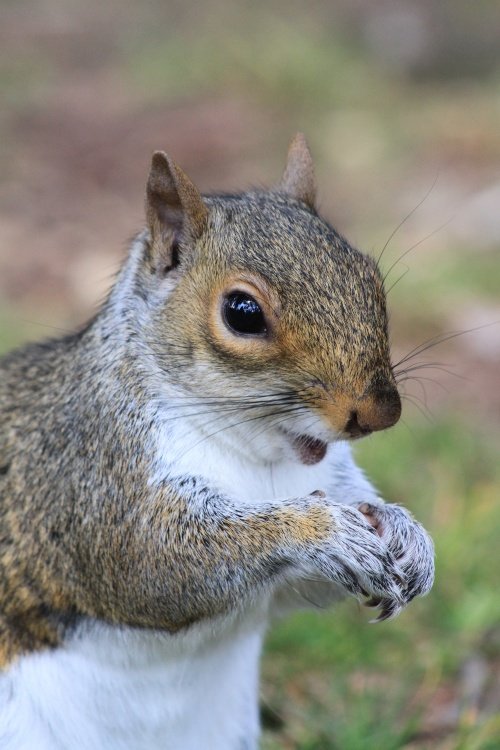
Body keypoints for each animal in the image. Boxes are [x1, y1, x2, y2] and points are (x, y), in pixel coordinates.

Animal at [0, 137, 434, 750]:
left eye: (369, 277)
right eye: (242, 312)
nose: (381, 411)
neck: (260, 459)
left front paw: (405, 531)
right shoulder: (94, 477)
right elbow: (151, 565)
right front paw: (320, 531)